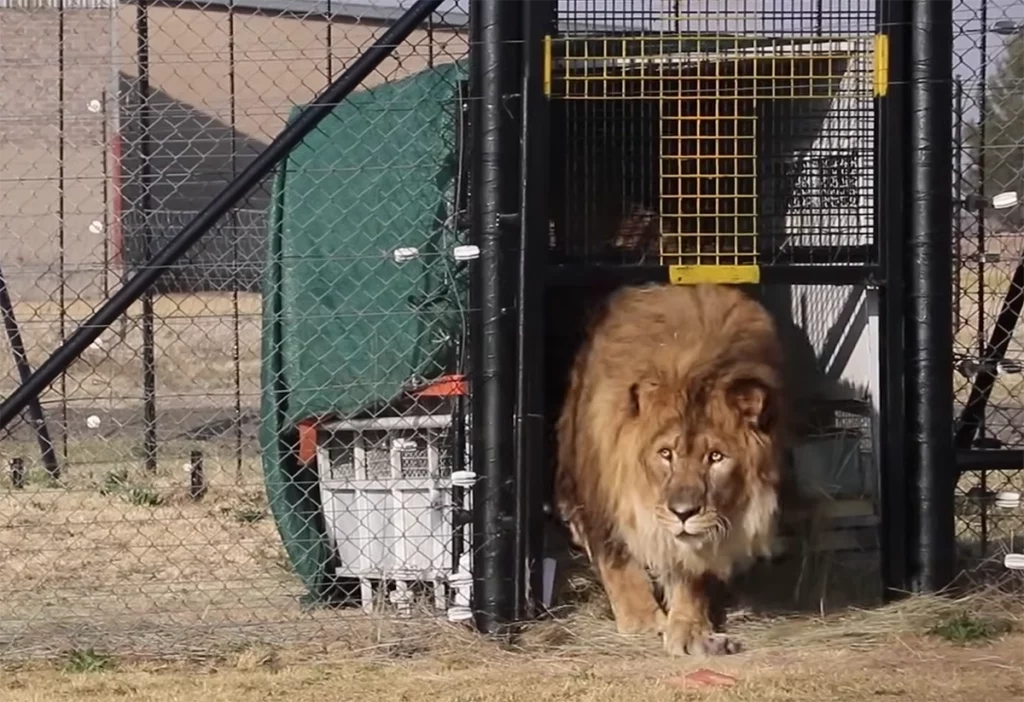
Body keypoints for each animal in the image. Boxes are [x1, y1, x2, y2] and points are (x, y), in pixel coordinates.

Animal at [554, 282, 786, 656]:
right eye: (666, 454)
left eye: (716, 457)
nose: (683, 512)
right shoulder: (601, 497)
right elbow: (618, 562)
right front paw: (642, 621)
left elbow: (688, 568)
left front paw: (690, 629)